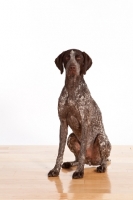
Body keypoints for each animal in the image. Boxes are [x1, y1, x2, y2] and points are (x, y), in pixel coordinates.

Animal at [47, 49, 111, 179]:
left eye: (79, 58)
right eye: (67, 57)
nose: (72, 67)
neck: (72, 88)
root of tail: (91, 161)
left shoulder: (84, 123)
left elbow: (81, 153)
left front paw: (79, 172)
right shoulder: (63, 123)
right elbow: (60, 152)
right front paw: (56, 170)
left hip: (102, 138)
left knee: (103, 160)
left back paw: (101, 166)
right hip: (71, 137)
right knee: (77, 158)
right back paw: (70, 163)